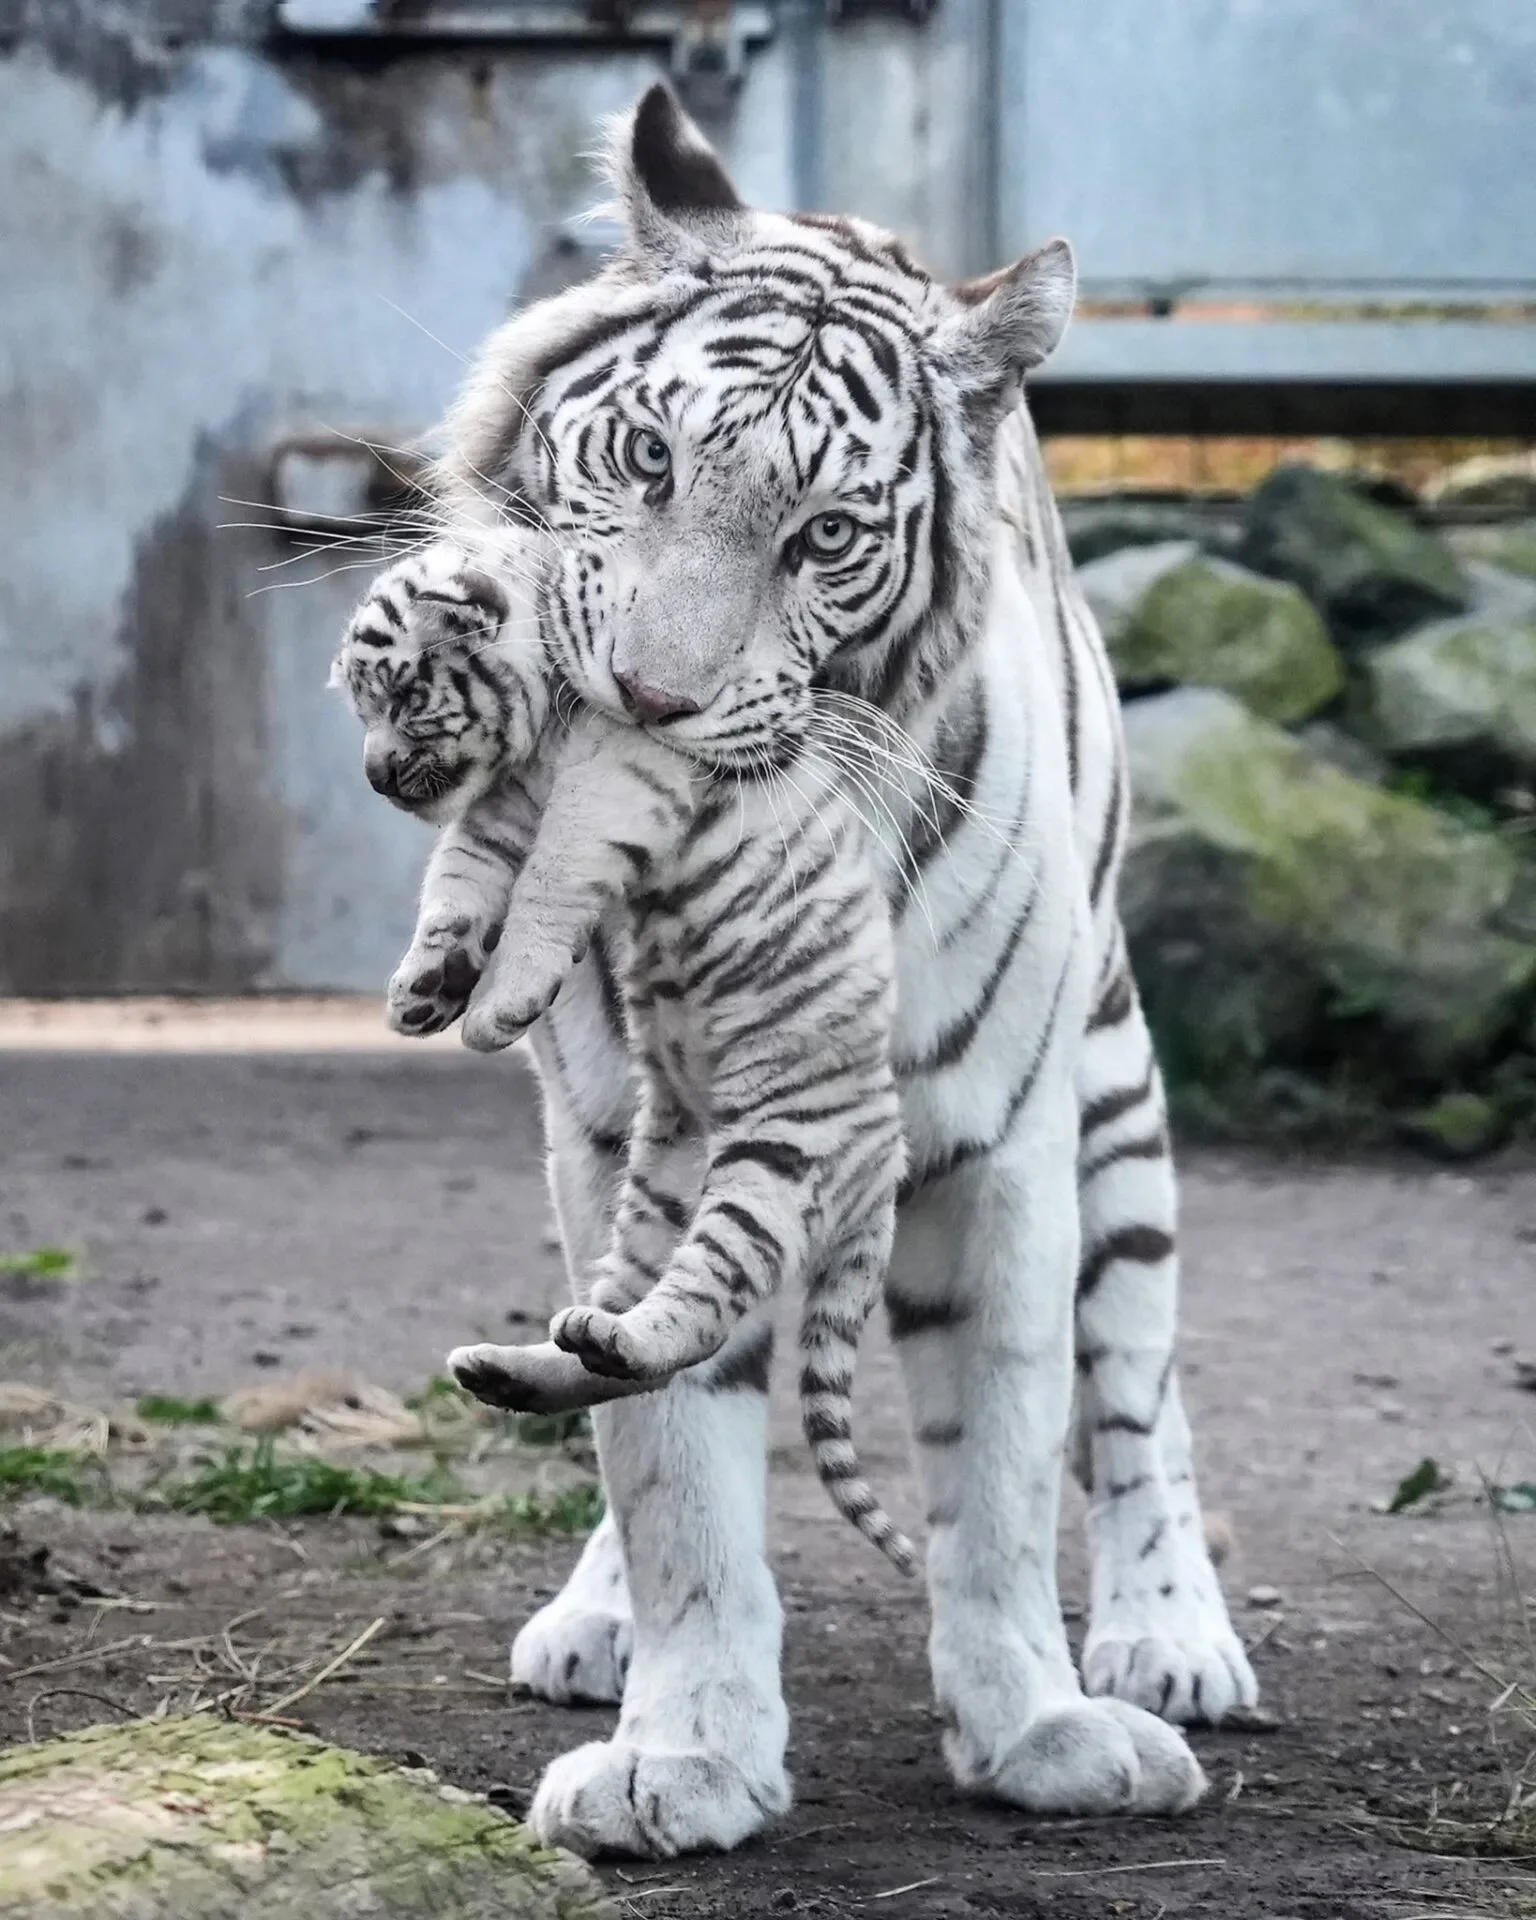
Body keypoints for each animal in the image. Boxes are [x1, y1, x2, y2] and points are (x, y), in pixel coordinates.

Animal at [410, 90, 1259, 1858]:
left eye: (827, 538)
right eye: (649, 458)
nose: (647, 698)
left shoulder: (1001, 1152)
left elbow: (1000, 1462)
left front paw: (1035, 1728)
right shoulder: (619, 1137)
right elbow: (667, 1465)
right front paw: (683, 1752)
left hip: (1119, 1107)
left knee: (1138, 1392)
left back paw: (1170, 1638)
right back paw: (594, 1619)